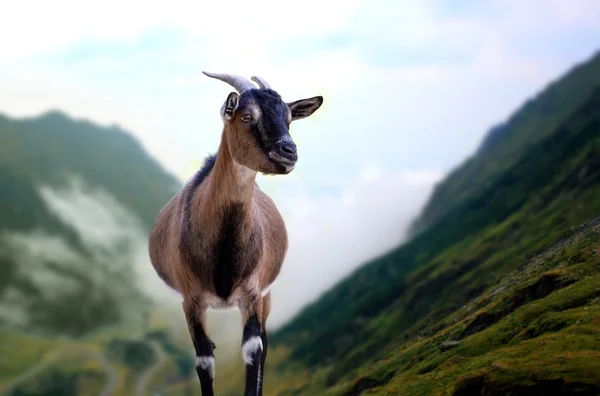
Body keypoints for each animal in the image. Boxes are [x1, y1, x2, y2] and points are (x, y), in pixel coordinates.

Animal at [148, 72, 324, 396]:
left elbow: (254, 350)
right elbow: (204, 361)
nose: (289, 152)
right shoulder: (191, 300)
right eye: (246, 116)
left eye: (289, 119)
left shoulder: (253, 293)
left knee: (265, 343)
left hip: (266, 296)